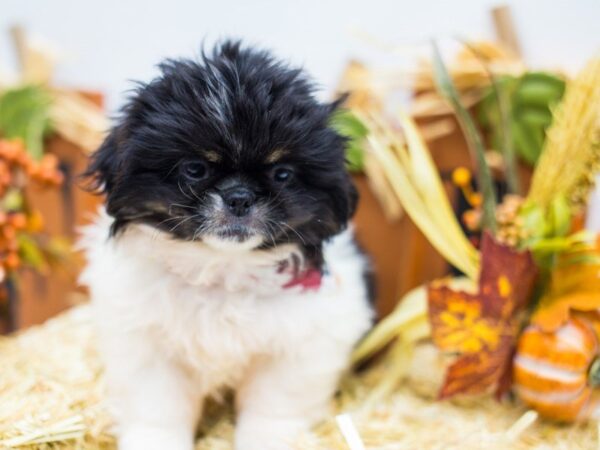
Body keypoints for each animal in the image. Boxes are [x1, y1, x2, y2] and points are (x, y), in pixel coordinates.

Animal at [79, 42, 370, 450]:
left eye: (282, 174)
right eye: (194, 170)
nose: (239, 197)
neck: (222, 269)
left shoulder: (301, 347)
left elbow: (274, 408)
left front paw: (266, 440)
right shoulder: (145, 345)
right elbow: (157, 409)